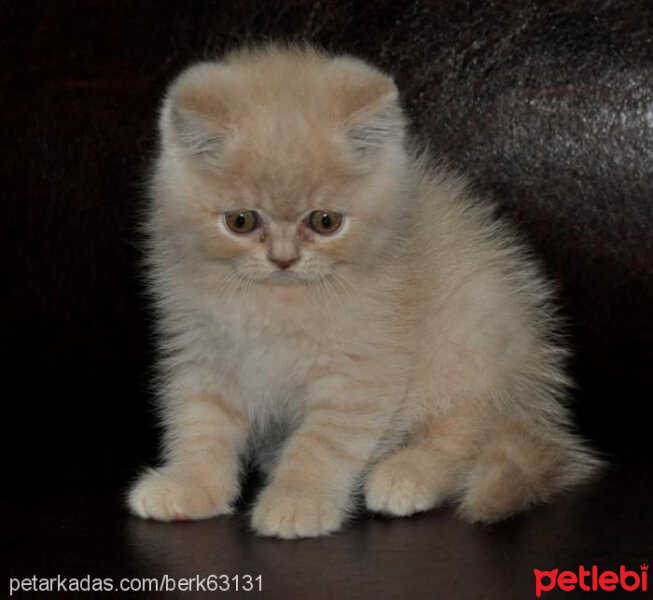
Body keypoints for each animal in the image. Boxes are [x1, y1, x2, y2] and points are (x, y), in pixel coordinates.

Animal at [125, 44, 600, 536]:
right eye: (241, 221)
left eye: (325, 221)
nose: (283, 258)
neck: (277, 303)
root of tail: (538, 408)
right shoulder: (204, 355)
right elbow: (200, 423)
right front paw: (190, 485)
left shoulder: (362, 370)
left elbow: (322, 443)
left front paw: (298, 498)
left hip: (472, 341)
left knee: (464, 436)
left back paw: (406, 474)